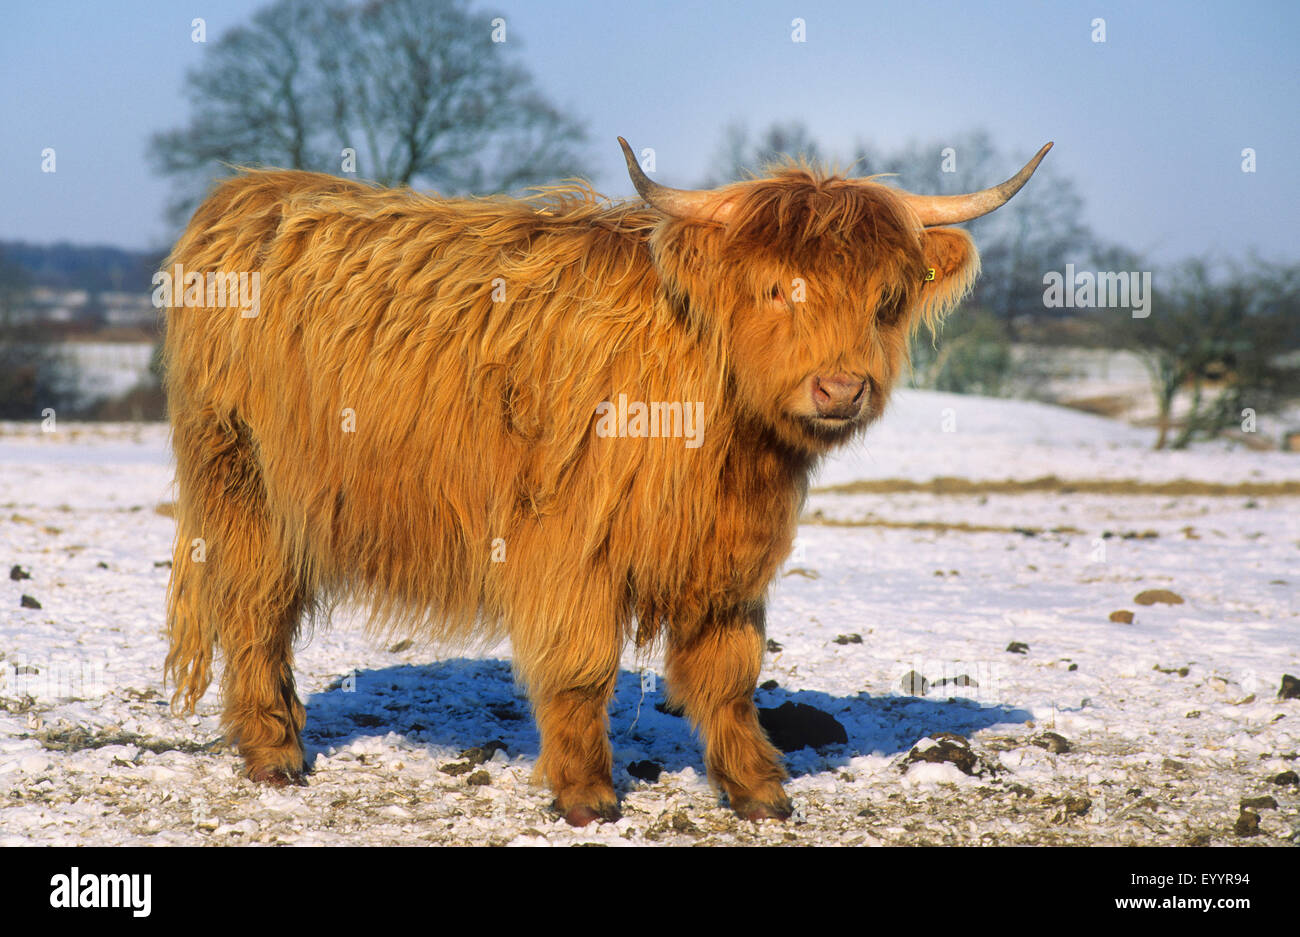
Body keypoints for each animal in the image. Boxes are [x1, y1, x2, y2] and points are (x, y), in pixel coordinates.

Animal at [162, 135, 1050, 821]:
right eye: (775, 287)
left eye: (887, 298)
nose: (840, 388)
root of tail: (246, 193)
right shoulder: (567, 540)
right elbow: (582, 666)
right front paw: (586, 794)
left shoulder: (728, 554)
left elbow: (729, 671)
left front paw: (757, 790)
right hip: (243, 484)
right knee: (254, 609)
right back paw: (275, 752)